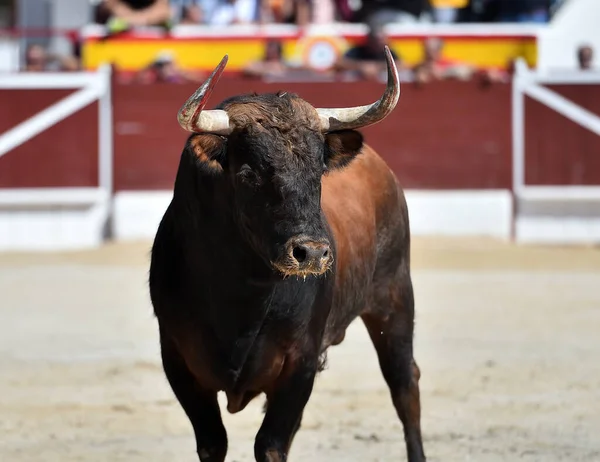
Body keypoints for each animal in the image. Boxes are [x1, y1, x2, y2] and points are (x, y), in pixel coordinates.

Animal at [148, 47, 424, 462]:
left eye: (318, 170)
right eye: (247, 174)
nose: (311, 253)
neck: (242, 294)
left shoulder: (300, 362)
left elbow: (271, 445)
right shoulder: (178, 360)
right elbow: (213, 442)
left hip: (394, 298)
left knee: (405, 384)